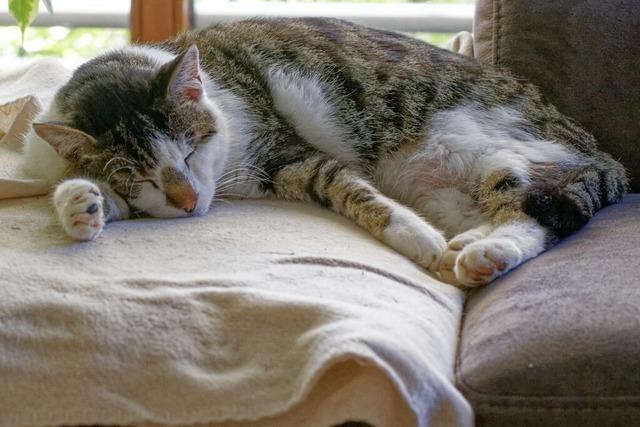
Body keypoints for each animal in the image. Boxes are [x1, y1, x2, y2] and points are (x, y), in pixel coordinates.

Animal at [22, 19, 628, 288]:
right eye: (143, 177)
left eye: (192, 152)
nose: (190, 202)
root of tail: (600, 150)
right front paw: (82, 205)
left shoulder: (287, 153)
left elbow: (351, 188)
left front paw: (418, 240)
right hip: (459, 188)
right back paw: (470, 244)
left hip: (491, 148)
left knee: (539, 209)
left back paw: (483, 252)